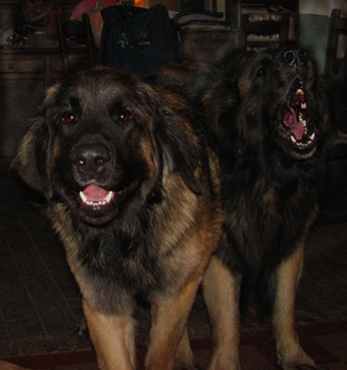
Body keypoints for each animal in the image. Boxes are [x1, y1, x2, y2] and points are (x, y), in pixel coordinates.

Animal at [14, 67, 223, 370]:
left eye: (125, 116)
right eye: (67, 117)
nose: (90, 159)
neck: (126, 232)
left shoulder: (174, 293)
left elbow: (161, 350)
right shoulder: (105, 303)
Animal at [201, 48, 328, 370]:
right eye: (260, 71)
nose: (297, 56)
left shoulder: (289, 245)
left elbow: (284, 308)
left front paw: (293, 355)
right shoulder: (222, 255)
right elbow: (228, 321)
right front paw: (225, 363)